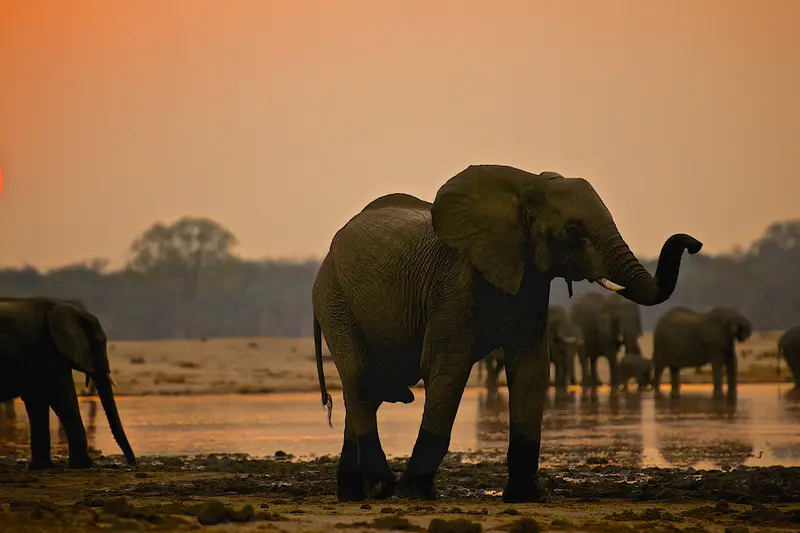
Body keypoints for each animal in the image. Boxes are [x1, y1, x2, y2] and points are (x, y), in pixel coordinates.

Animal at [0, 297, 136, 469]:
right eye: (98, 342)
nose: (131, 462)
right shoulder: (45, 349)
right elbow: (60, 396)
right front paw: (84, 465)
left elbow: (37, 400)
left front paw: (41, 467)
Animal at [311, 164, 702, 503]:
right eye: (573, 232)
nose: (693, 243)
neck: (525, 187)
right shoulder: (453, 285)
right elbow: (447, 367)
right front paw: (415, 493)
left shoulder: (532, 282)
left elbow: (531, 367)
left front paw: (530, 497)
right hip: (334, 301)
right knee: (360, 381)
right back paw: (380, 488)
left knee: (367, 391)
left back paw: (353, 493)